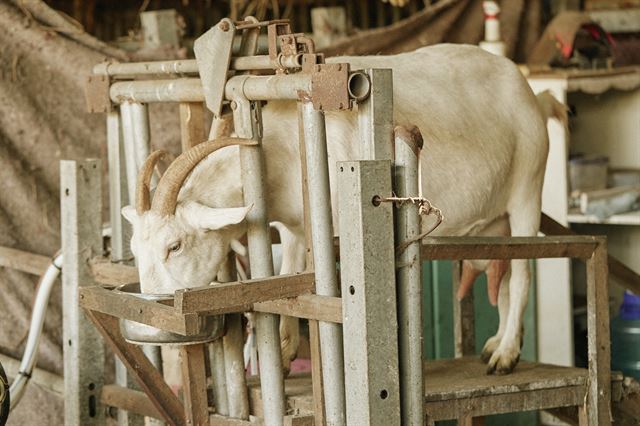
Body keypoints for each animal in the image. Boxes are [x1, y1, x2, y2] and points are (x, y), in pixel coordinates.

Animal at [122, 45, 564, 374]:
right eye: (135, 250)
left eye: (175, 246)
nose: (149, 313)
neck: (284, 148)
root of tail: (534, 96)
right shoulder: (295, 227)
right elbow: (289, 281)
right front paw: (282, 354)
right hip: (494, 221)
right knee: (503, 272)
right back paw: (498, 343)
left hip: (527, 185)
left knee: (523, 273)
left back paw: (505, 356)